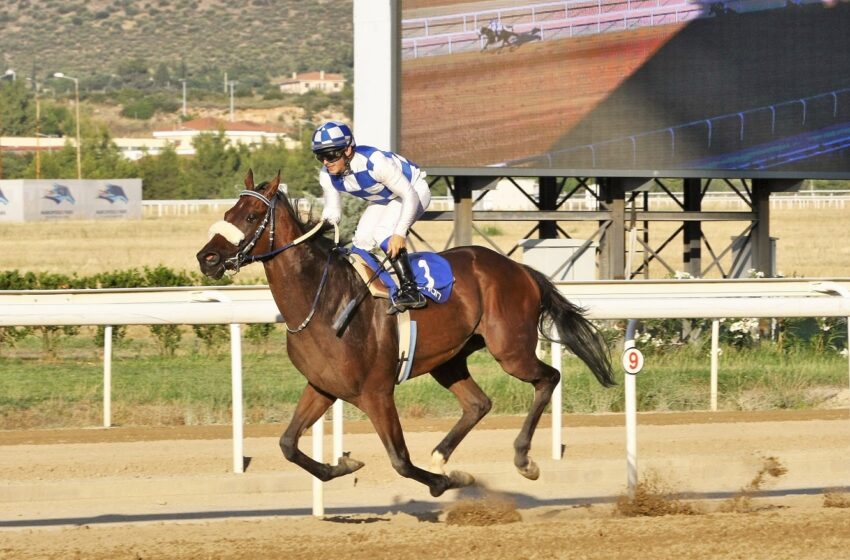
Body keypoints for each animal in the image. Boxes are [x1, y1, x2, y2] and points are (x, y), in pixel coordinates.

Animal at [196, 171, 612, 498]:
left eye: (251, 216)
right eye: (227, 213)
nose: (206, 258)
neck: (322, 300)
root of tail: (521, 269)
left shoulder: (377, 392)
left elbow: (400, 460)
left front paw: (445, 482)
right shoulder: (323, 386)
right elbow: (287, 444)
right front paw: (343, 466)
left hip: (510, 350)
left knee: (548, 378)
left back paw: (523, 459)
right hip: (449, 359)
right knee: (478, 403)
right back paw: (443, 456)